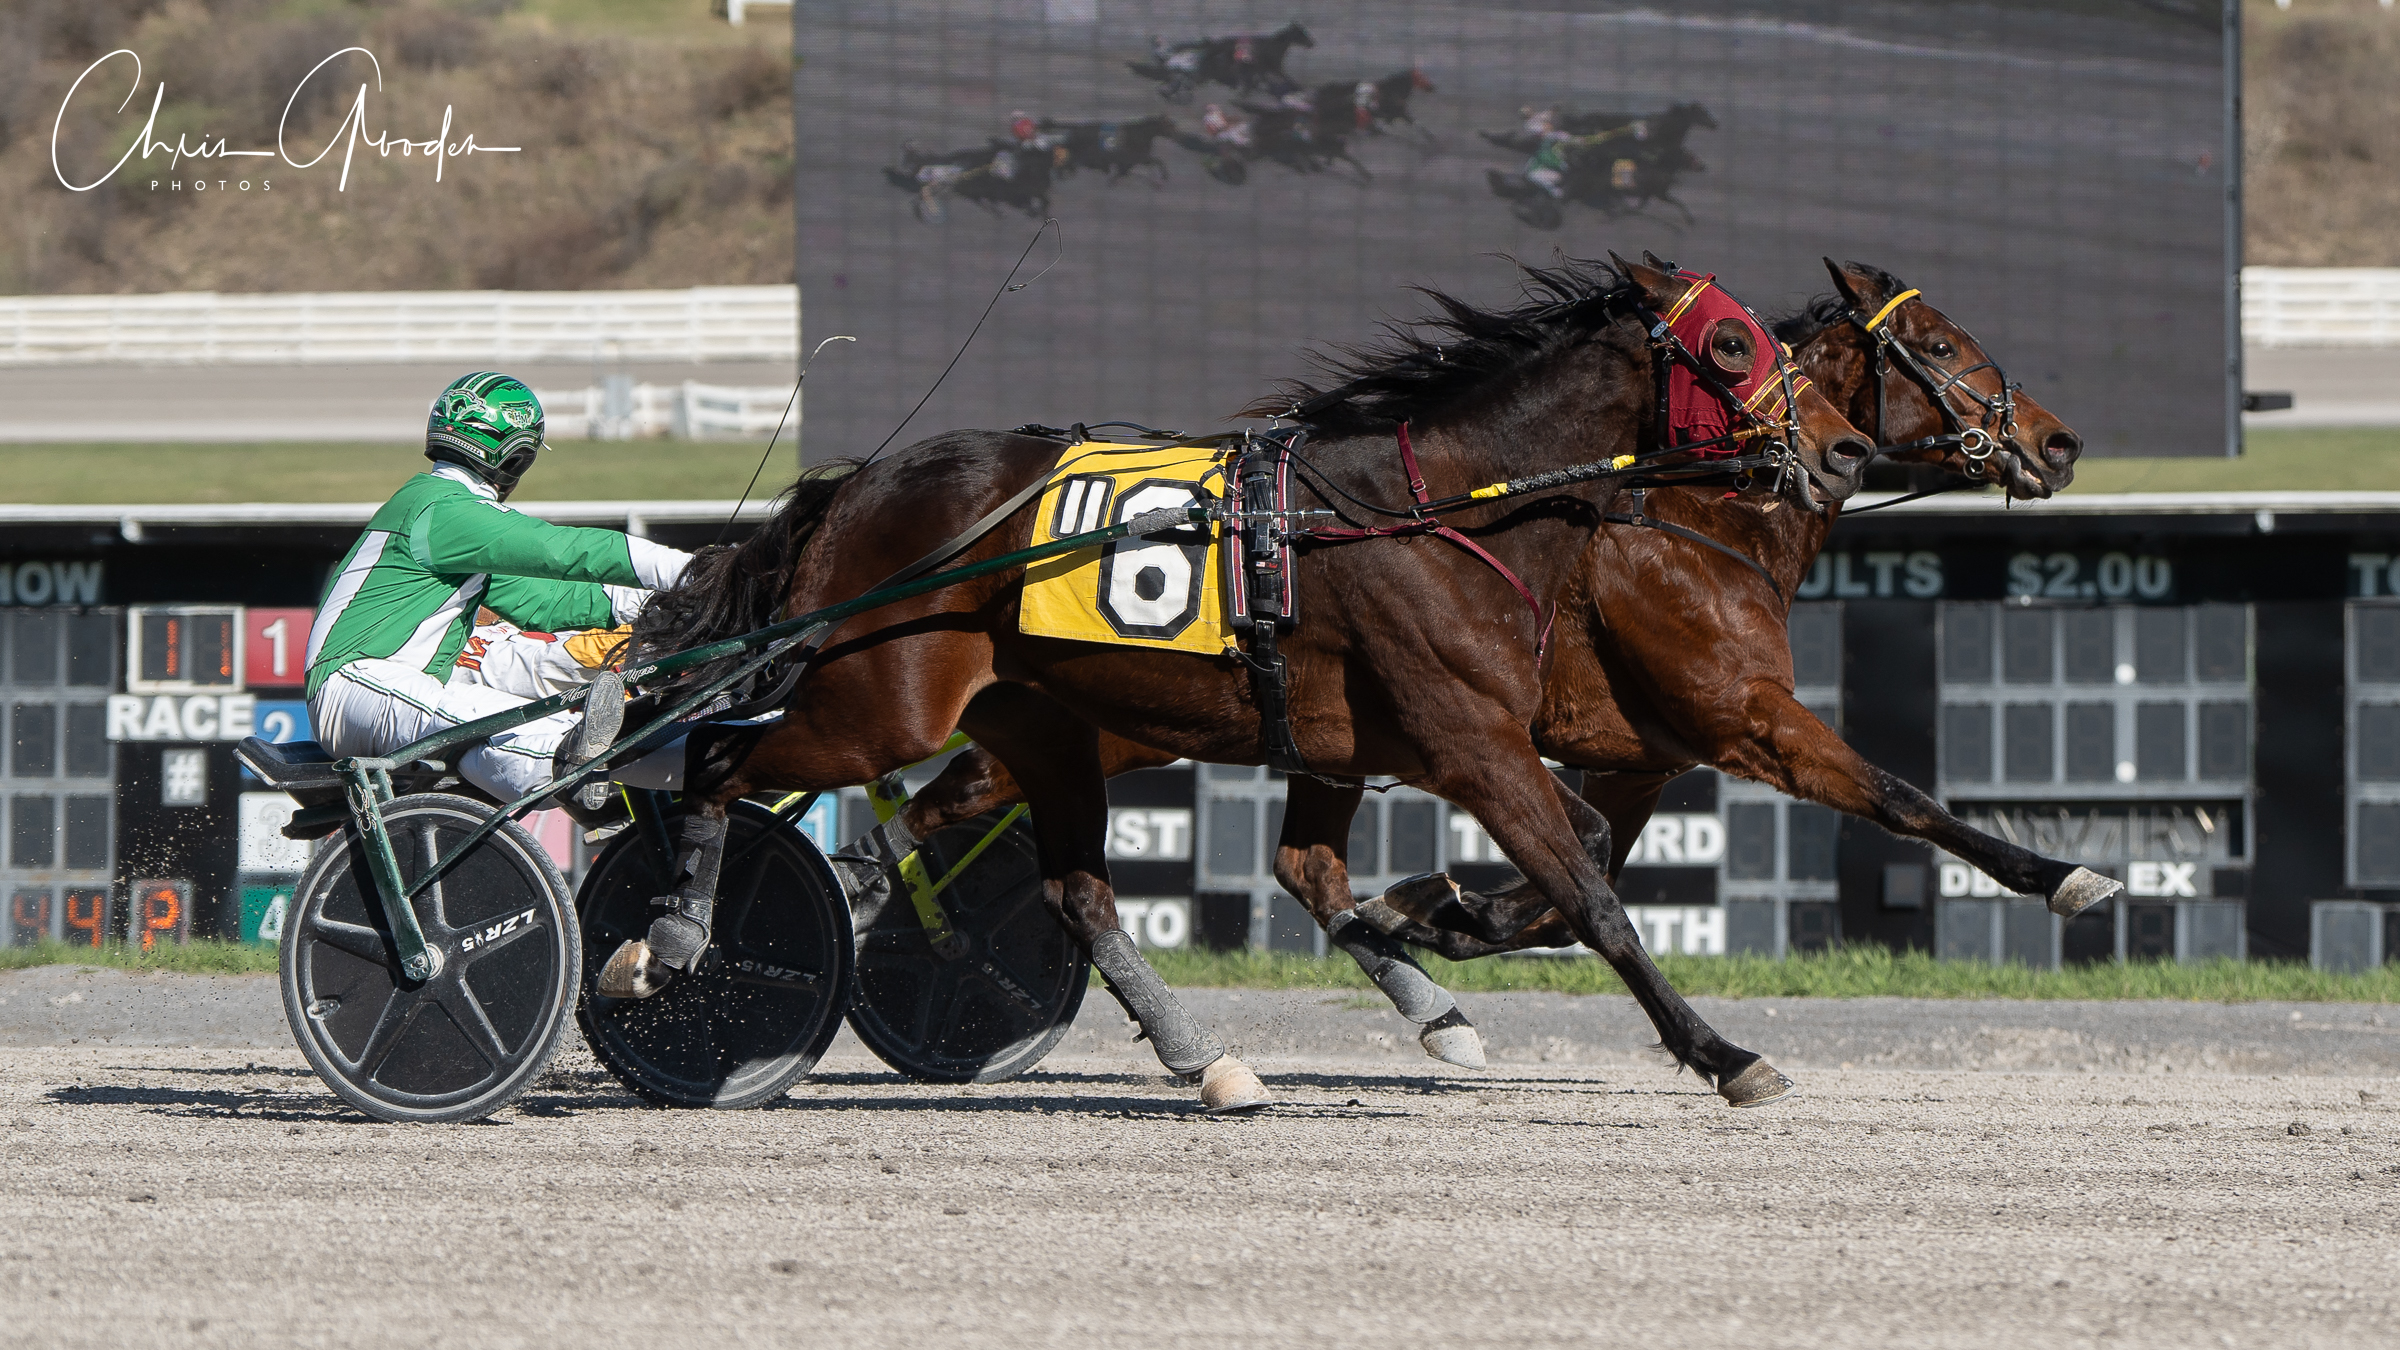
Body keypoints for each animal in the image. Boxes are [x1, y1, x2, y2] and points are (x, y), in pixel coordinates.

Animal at [604, 257, 1872, 1109]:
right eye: (1732, 348)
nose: (1848, 449)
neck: (1434, 511)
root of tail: (861, 484)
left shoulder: (1370, 745)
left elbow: (1453, 869)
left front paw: (1436, 928)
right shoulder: (1469, 739)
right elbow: (1595, 890)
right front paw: (1726, 1056)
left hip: (1042, 726)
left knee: (1076, 893)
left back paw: (1203, 1055)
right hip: (880, 704)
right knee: (718, 756)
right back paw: (668, 936)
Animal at [892, 257, 2112, 1061]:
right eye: (1942, 347)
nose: (2058, 441)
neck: (1687, 517)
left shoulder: (1640, 753)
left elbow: (1575, 877)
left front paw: (1435, 911)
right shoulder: (1737, 713)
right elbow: (1898, 795)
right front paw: (2064, 876)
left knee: (1279, 862)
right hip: (1115, 726)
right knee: (939, 805)